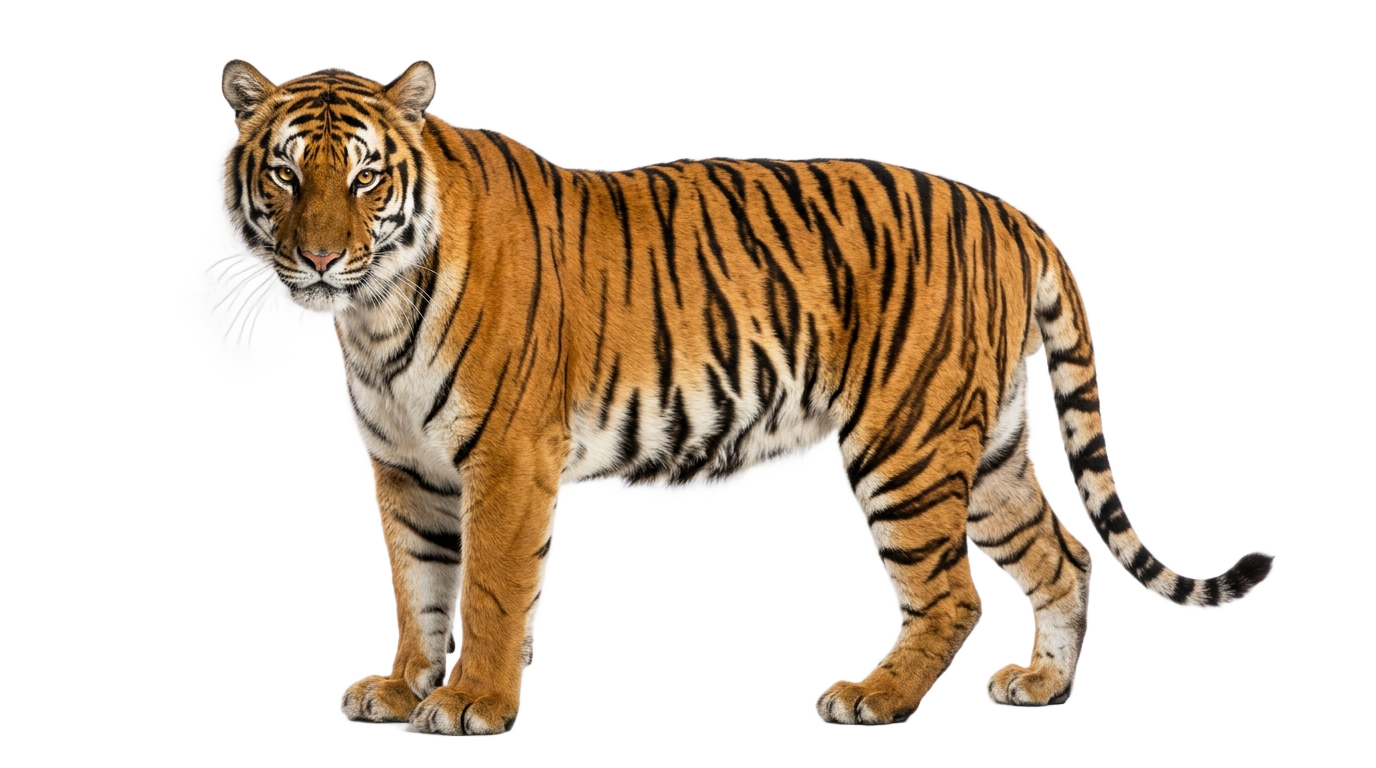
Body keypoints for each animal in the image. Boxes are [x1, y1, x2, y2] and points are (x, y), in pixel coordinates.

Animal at [218, 59, 1272, 735]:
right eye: (286, 171)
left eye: (366, 175)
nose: (322, 258)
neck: (374, 310)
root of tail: (1010, 213)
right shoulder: (407, 468)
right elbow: (415, 586)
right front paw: (404, 689)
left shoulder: (508, 460)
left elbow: (486, 590)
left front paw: (472, 701)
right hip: (990, 450)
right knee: (1059, 557)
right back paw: (1044, 684)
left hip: (908, 444)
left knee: (951, 593)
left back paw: (875, 699)